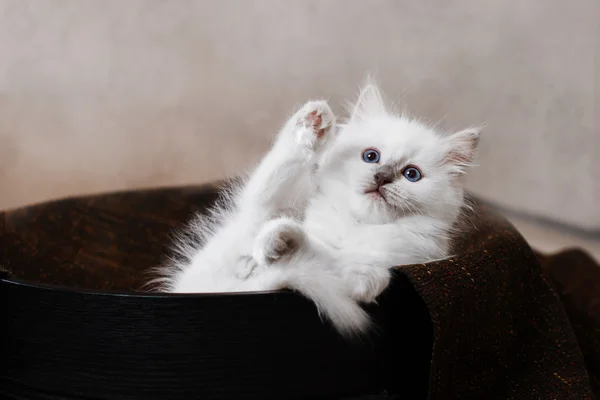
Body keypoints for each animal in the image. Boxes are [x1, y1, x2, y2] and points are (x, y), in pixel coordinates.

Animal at [157, 83, 480, 340]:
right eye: (371, 156)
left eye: (412, 174)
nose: (382, 177)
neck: (356, 225)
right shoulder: (272, 204)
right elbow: (273, 188)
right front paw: (314, 123)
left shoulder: (411, 255)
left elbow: (351, 268)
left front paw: (362, 280)